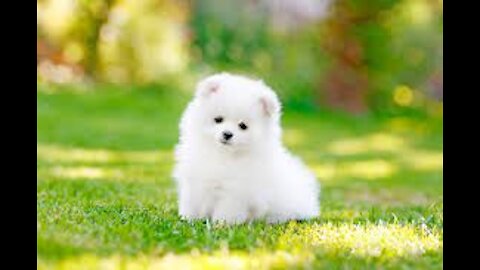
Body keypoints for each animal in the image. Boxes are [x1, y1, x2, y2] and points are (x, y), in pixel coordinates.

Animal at [171, 71, 320, 224]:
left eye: (243, 126)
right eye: (218, 119)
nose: (227, 134)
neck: (223, 155)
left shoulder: (235, 191)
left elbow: (227, 210)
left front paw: (222, 224)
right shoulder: (194, 182)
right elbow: (191, 203)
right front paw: (188, 218)